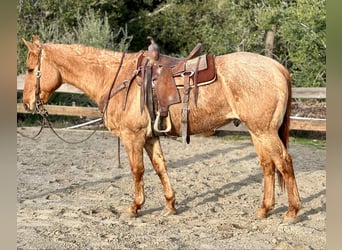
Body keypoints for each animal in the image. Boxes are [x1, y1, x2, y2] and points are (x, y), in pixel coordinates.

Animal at [21, 36, 300, 222]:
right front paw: (170, 205)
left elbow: (137, 171)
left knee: (284, 162)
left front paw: (134, 207)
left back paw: (292, 211)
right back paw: (264, 209)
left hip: (264, 131)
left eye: (31, 69)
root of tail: (278, 68)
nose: (26, 103)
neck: (116, 77)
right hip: (257, 132)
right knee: (268, 166)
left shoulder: (132, 137)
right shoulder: (149, 138)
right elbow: (160, 167)